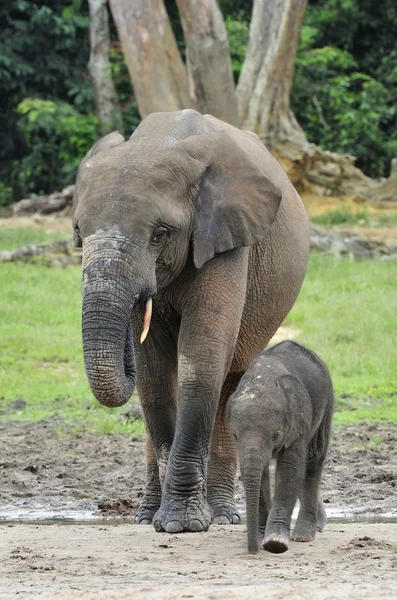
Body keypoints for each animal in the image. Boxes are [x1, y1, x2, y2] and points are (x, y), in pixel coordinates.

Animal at [74, 110, 310, 532]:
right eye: (78, 233)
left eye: (160, 235)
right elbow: (153, 375)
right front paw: (166, 519)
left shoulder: (226, 236)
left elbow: (201, 356)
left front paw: (181, 524)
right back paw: (146, 514)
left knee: (231, 380)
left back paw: (224, 516)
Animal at [226, 340, 332, 556]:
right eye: (235, 436)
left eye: (276, 435)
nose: (253, 551)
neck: (263, 379)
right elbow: (261, 474)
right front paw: (261, 538)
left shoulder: (298, 422)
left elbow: (290, 468)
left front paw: (275, 543)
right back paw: (318, 524)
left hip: (326, 404)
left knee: (313, 461)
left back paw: (305, 535)